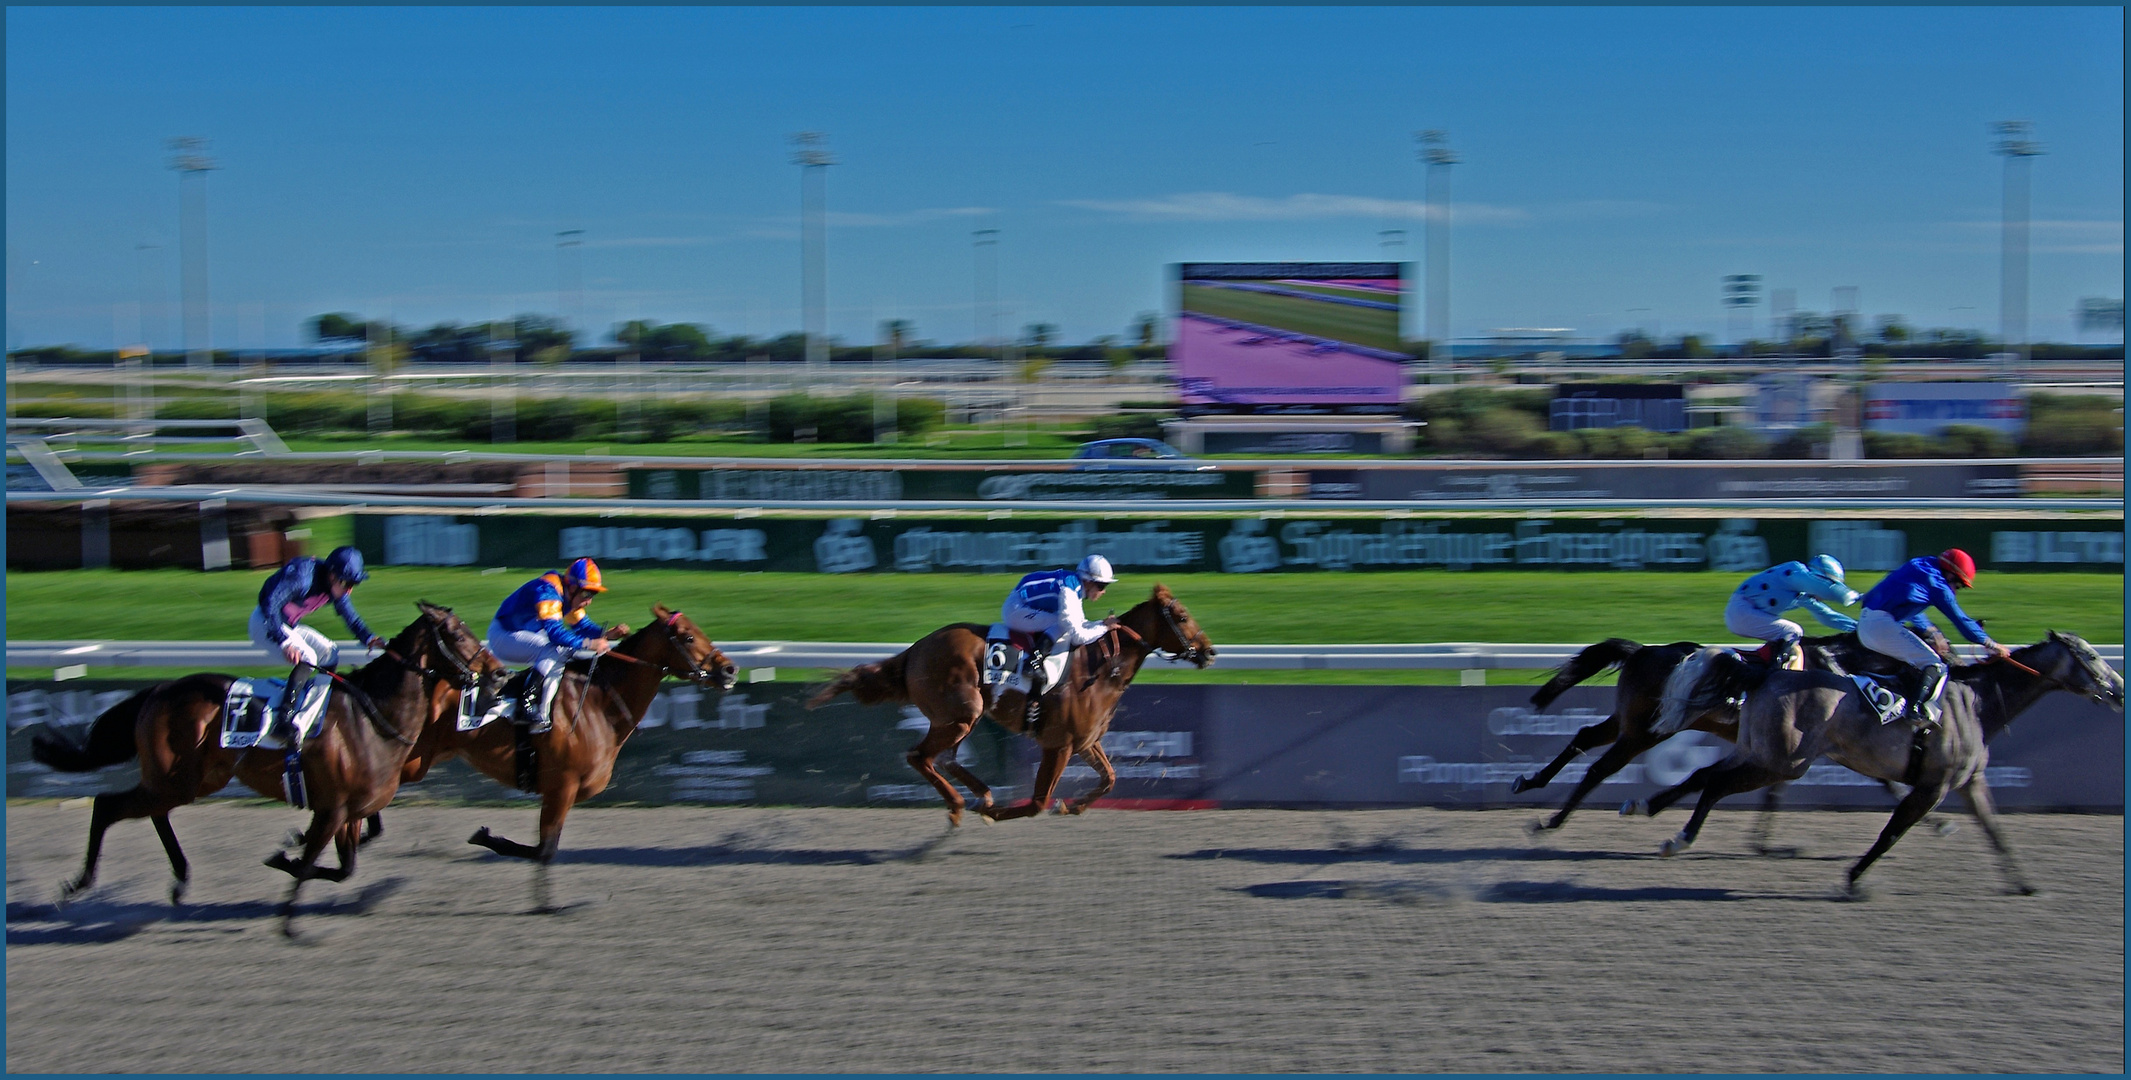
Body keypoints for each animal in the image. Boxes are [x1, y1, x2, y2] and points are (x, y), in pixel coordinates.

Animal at [30, 604, 502, 933]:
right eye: (457, 633)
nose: (498, 674)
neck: (373, 717)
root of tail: (160, 689)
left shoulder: (346, 811)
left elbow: (344, 867)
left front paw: (285, 855)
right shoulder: (333, 809)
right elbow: (316, 862)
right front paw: (288, 888)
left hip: (193, 779)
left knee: (155, 812)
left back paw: (180, 878)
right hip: (176, 780)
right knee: (107, 805)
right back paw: (78, 884)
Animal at [396, 609, 737, 911]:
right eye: (689, 637)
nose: (730, 670)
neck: (598, 704)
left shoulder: (563, 790)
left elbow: (544, 850)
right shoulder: (561, 786)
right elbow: (545, 851)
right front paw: (544, 901)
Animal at [801, 583, 1218, 826]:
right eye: (1182, 616)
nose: (1210, 652)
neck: (1102, 667)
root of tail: (914, 651)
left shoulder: (1086, 741)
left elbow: (1110, 778)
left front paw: (1074, 806)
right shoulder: (1059, 744)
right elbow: (1037, 801)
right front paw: (998, 813)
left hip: (957, 718)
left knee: (945, 759)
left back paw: (980, 794)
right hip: (960, 713)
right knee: (920, 756)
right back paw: (960, 805)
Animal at [1517, 626, 1951, 835]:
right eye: (1942, 649)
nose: (1955, 670)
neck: (1837, 668)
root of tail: (1641, 650)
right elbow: (1887, 782)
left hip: (1631, 721)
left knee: (1585, 737)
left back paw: (1529, 781)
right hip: (1646, 732)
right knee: (1598, 768)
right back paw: (1553, 821)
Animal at [1628, 634, 2113, 894]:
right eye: (2090, 657)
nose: (2119, 688)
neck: (1975, 702)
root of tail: (1767, 673)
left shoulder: (1970, 782)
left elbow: (1996, 832)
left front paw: (2024, 883)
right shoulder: (1933, 787)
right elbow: (1890, 833)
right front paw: (1853, 879)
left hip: (1758, 750)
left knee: (1703, 775)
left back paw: (1648, 808)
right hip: (1783, 762)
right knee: (1714, 785)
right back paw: (1678, 838)